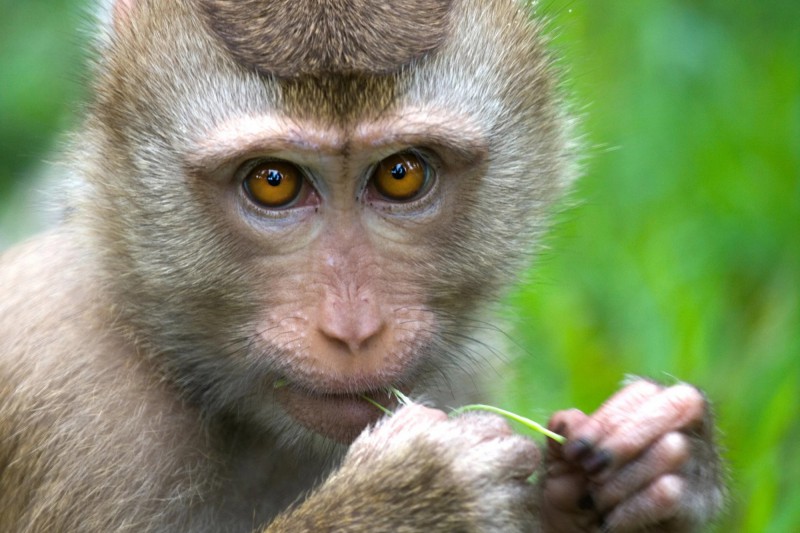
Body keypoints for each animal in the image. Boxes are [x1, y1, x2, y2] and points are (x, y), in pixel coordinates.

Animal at [0, 0, 724, 528]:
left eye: (402, 174)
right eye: (272, 182)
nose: (354, 331)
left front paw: (656, 459)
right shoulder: (79, 404)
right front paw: (419, 493)